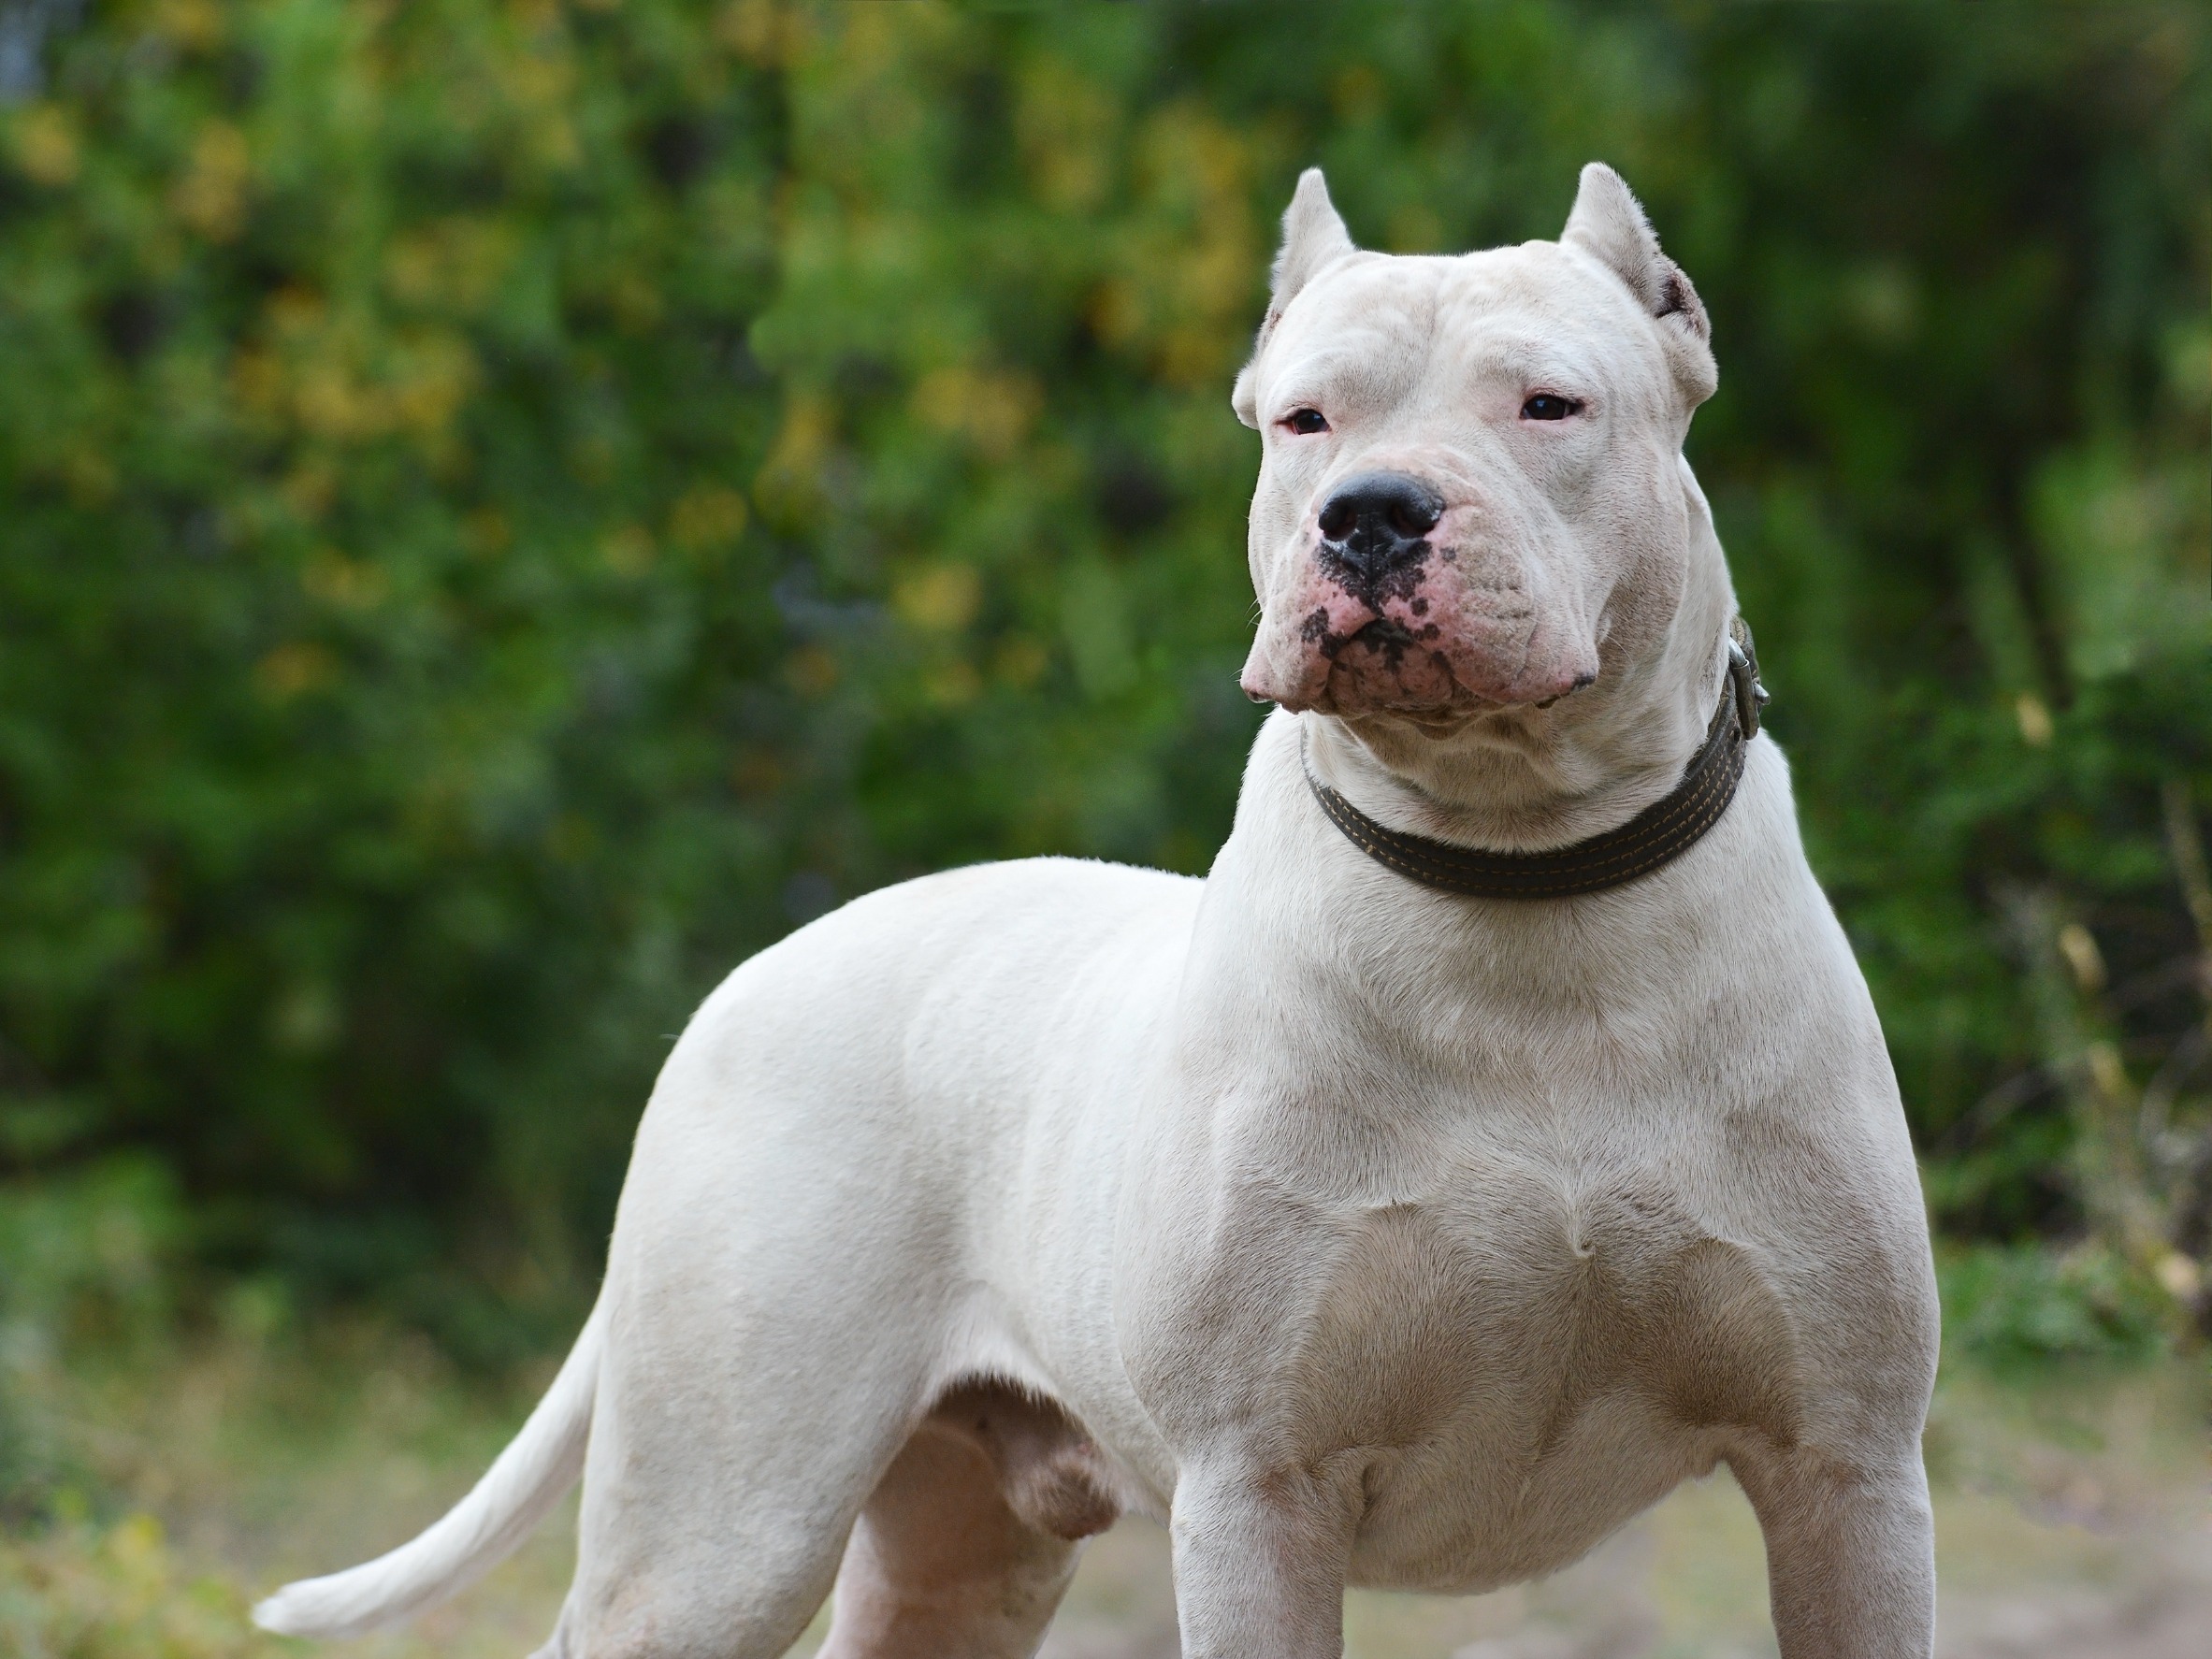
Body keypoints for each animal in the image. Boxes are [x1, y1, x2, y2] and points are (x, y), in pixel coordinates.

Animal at [258, 168, 1937, 1659]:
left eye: (1548, 405)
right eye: (1305, 420)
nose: (1371, 514)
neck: (1520, 875)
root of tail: (756, 974)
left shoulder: (1846, 1472)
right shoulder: (1258, 1492)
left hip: (953, 1545)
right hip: (715, 1531)